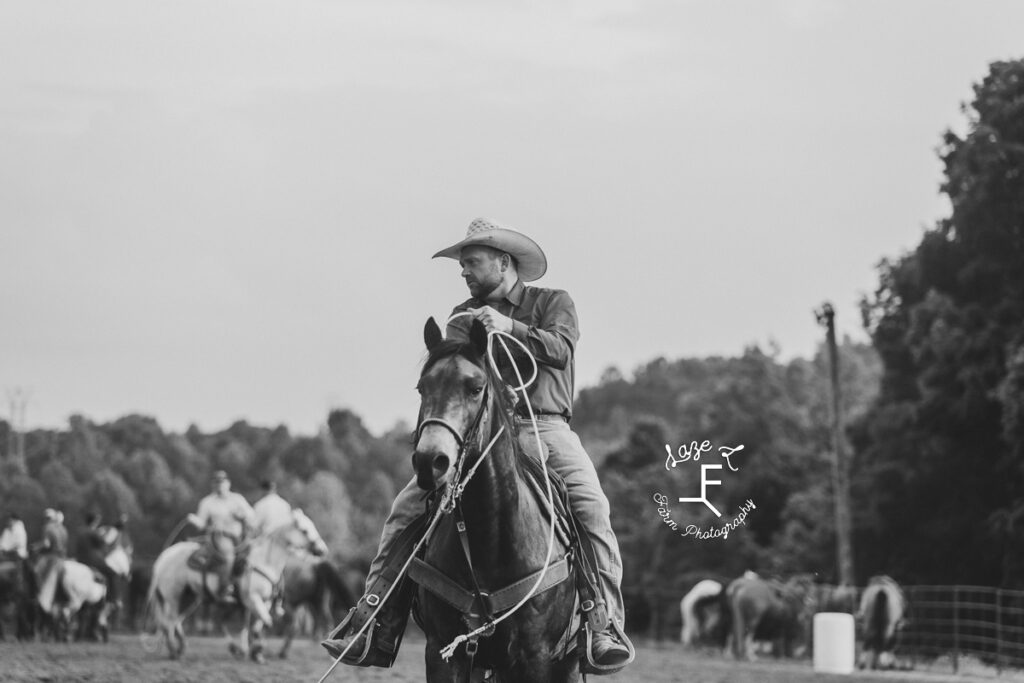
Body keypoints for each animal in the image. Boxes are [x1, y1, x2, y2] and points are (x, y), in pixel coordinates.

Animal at [145, 507, 323, 663]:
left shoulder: (263, 601)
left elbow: (258, 625)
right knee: (168, 622)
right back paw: (174, 652)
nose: (322, 550)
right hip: (173, 596)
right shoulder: (252, 598)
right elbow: (264, 623)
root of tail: (163, 557)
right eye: (304, 530)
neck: (264, 562)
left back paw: (182, 648)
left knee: (176, 621)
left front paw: (255, 653)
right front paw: (252, 649)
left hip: (190, 597)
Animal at [409, 321, 585, 683]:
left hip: (568, 663)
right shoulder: (442, 651)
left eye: (475, 388)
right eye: (422, 387)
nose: (430, 461)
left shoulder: (536, 658)